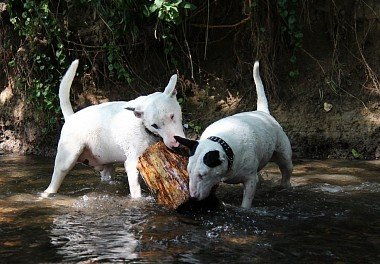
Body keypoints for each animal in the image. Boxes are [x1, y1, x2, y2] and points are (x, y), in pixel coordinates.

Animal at [43, 60, 186, 198]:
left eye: (172, 116)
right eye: (155, 125)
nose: (175, 144)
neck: (142, 125)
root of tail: (70, 117)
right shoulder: (132, 163)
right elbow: (136, 191)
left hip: (105, 164)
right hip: (67, 159)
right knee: (55, 179)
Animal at [176, 61, 294, 208]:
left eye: (203, 175)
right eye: (189, 171)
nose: (192, 197)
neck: (224, 145)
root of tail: (262, 112)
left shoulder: (250, 180)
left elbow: (246, 202)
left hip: (283, 153)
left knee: (286, 167)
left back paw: (286, 185)